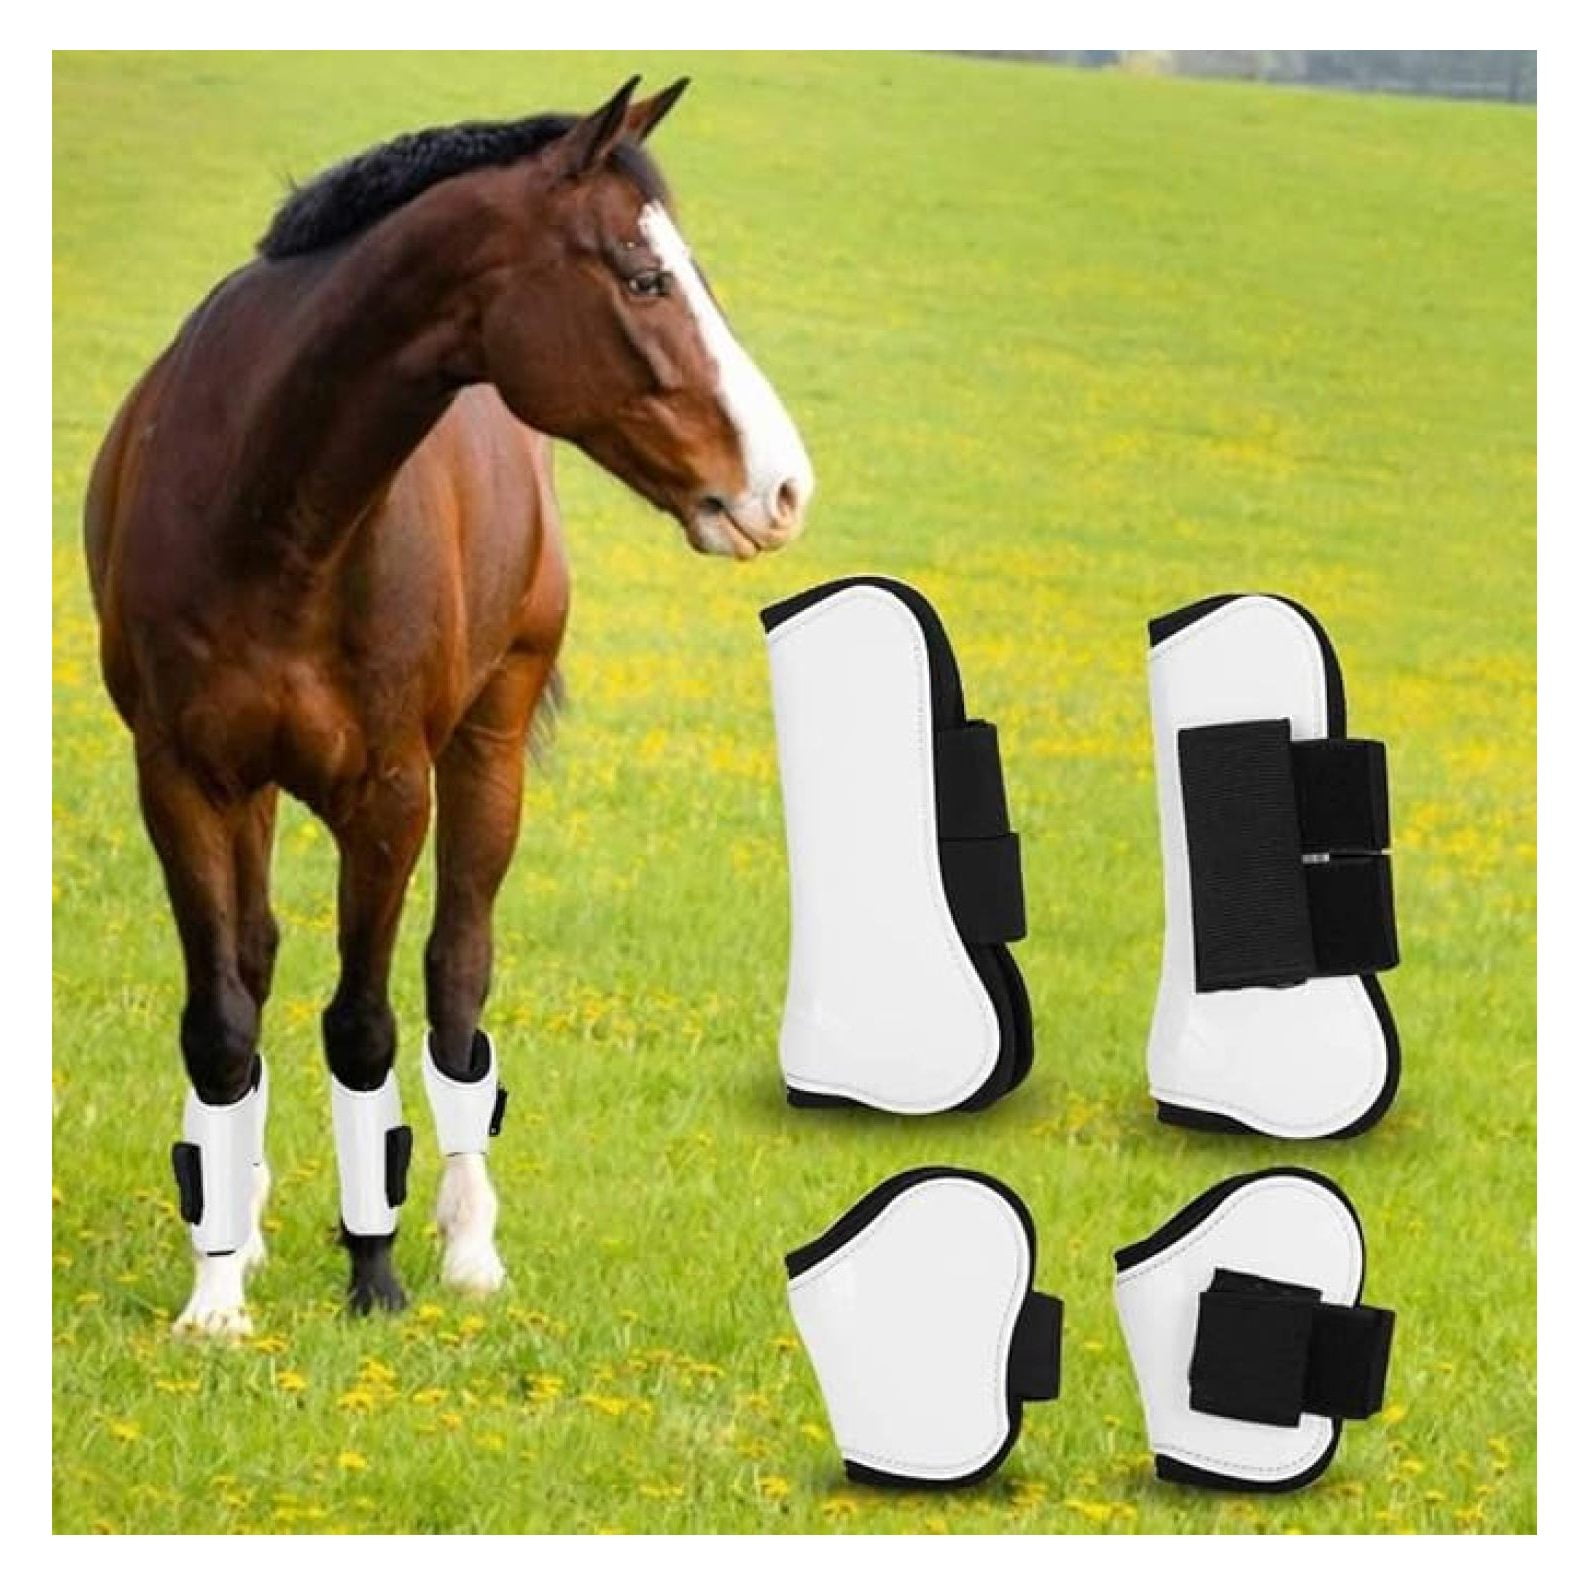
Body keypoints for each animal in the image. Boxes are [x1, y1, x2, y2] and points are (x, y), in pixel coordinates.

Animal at [82, 77, 813, 1336]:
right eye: (644, 279)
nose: (783, 487)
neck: (268, 507)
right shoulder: (180, 780)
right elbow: (223, 1023)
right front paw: (216, 1293)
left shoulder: (389, 796)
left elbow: (366, 1026)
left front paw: (373, 1275)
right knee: (261, 966)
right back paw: (249, 1217)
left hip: (490, 749)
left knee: (457, 981)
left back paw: (470, 1247)